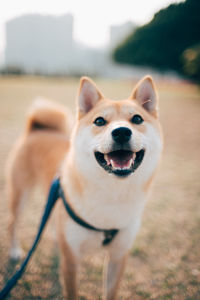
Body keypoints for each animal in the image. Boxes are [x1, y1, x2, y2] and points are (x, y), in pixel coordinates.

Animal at [5, 75, 162, 298]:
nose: (122, 132)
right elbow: (72, 291)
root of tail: (37, 128)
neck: (112, 193)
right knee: (12, 223)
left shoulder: (118, 256)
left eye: (137, 119)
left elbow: (111, 292)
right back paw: (14, 251)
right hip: (20, 194)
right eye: (99, 121)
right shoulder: (71, 260)